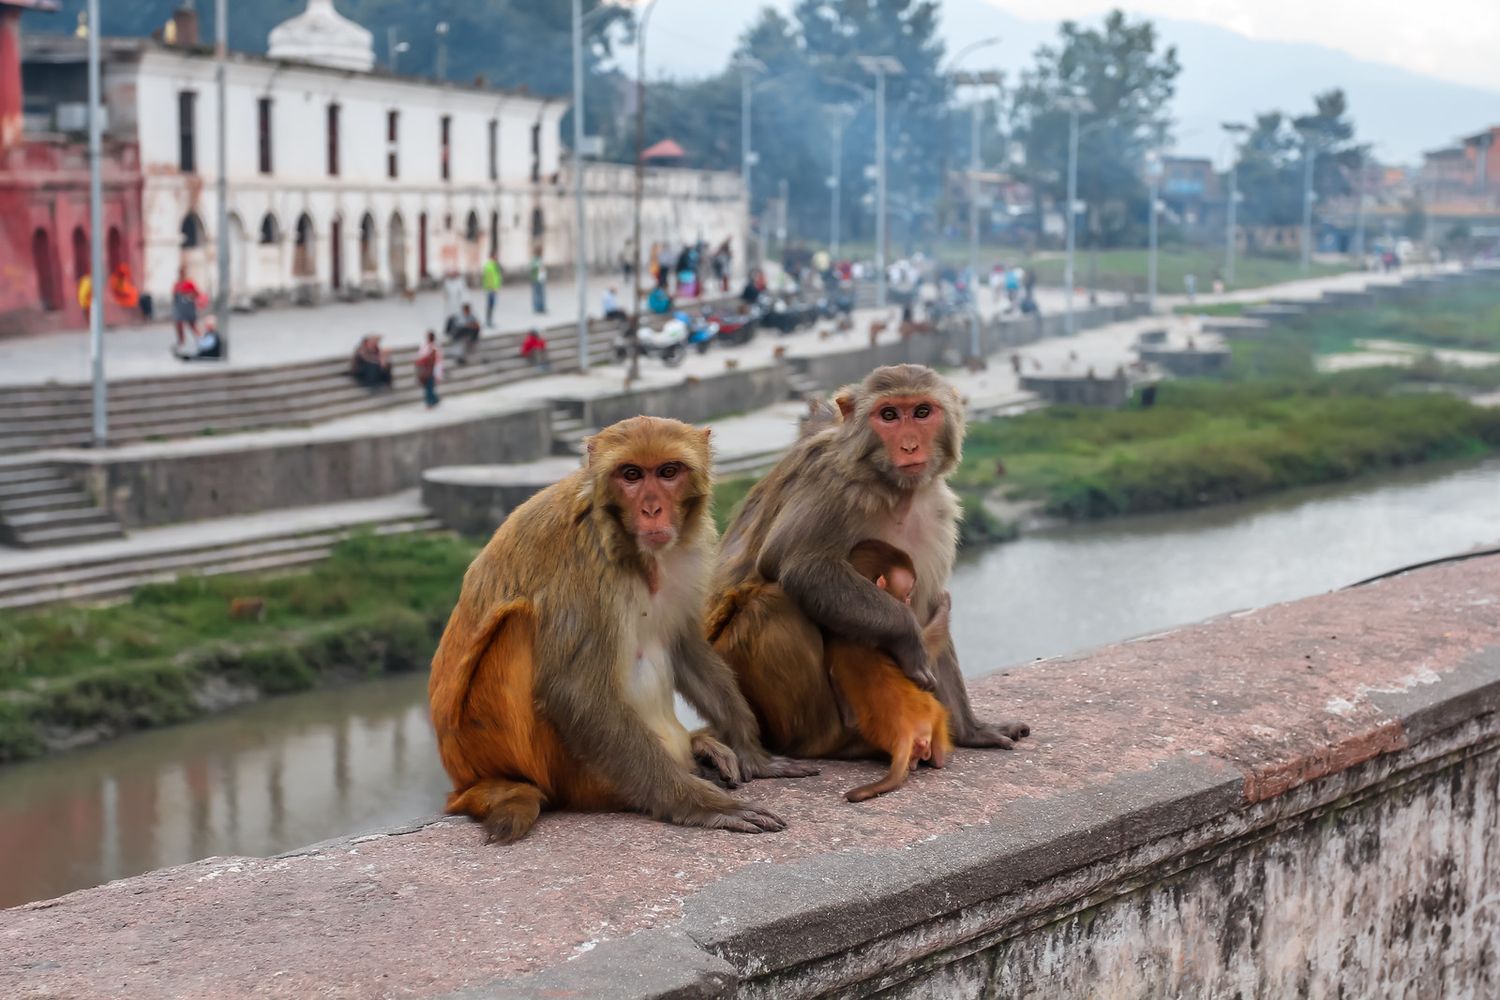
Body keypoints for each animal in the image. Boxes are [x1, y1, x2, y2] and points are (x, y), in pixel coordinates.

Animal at [828, 539, 954, 803]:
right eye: (906, 593)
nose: (906, 604)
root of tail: (904, 732)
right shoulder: (889, 637)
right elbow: (925, 645)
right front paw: (943, 605)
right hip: (935, 720)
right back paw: (937, 760)